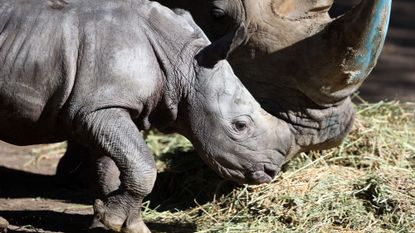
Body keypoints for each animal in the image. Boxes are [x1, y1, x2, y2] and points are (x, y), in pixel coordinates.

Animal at [0, 0, 290, 231]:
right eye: (240, 126)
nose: (271, 170)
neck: (182, 62)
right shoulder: (98, 109)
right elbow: (142, 166)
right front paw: (114, 221)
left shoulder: (102, 108)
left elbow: (113, 168)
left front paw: (116, 224)